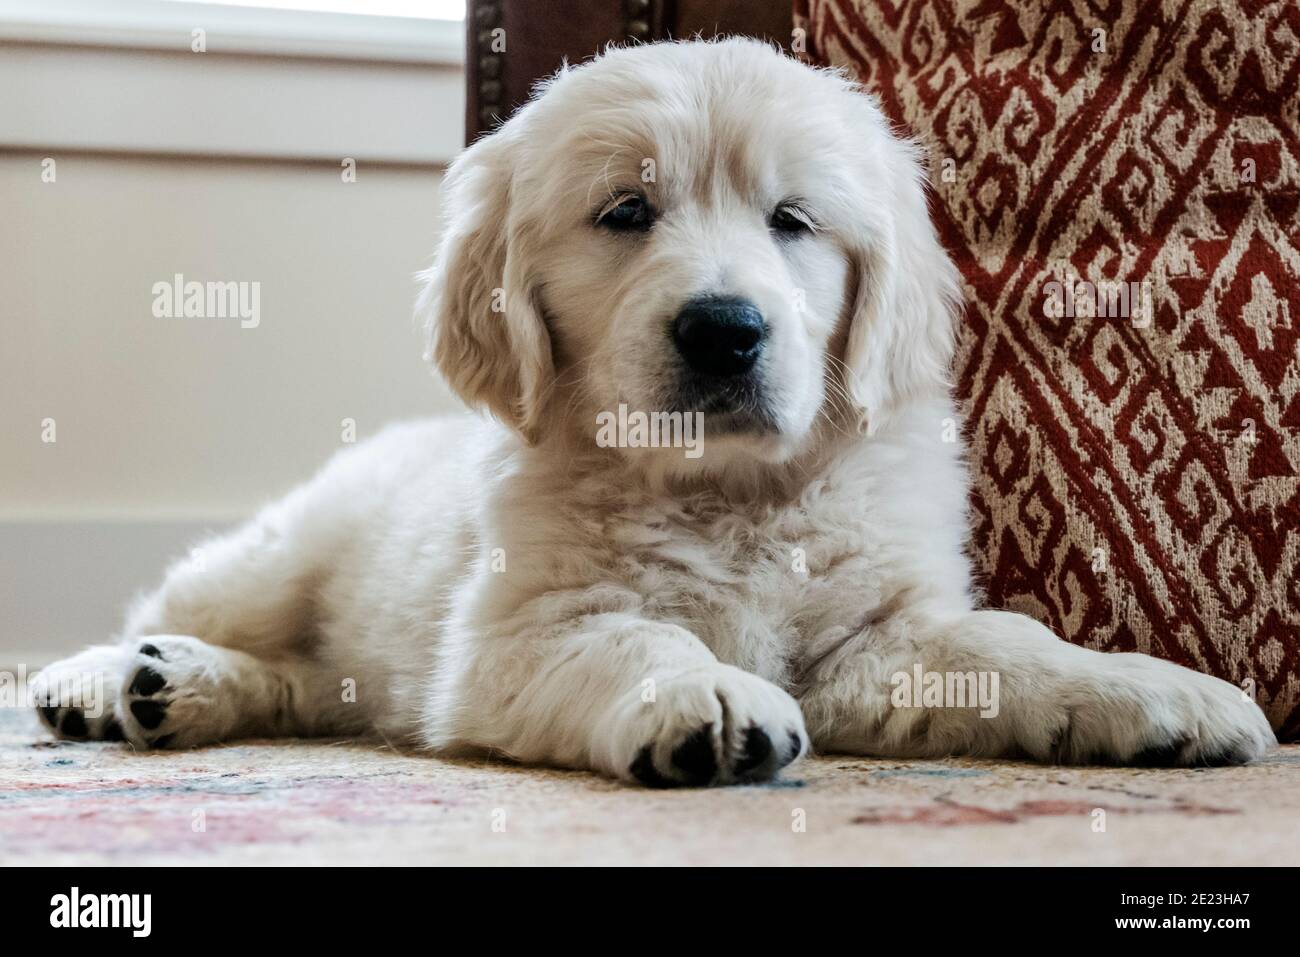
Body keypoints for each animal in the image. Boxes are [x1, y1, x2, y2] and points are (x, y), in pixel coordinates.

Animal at [35, 39, 1274, 785]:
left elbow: (1004, 645)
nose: (724, 328)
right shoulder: (517, 633)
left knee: (315, 687)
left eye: (793, 220)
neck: (726, 492)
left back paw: (178, 689)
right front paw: (701, 693)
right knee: (190, 606)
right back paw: (109, 679)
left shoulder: (878, 636)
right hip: (281, 553)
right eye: (626, 213)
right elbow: (637, 633)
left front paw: (1153, 692)